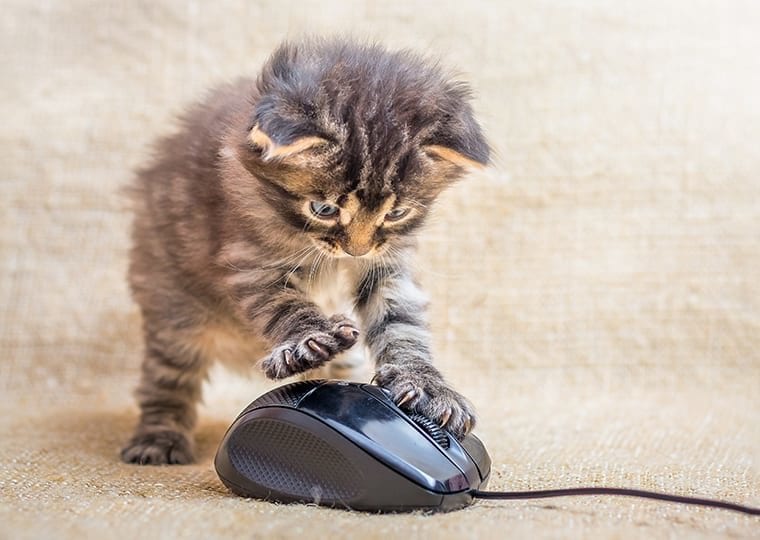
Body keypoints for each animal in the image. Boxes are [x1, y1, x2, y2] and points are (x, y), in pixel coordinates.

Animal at [119, 38, 486, 464]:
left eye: (396, 213)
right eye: (323, 209)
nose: (356, 251)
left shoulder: (387, 264)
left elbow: (401, 324)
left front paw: (426, 384)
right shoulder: (250, 261)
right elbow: (285, 305)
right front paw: (307, 341)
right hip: (173, 307)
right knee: (166, 380)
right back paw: (158, 439)